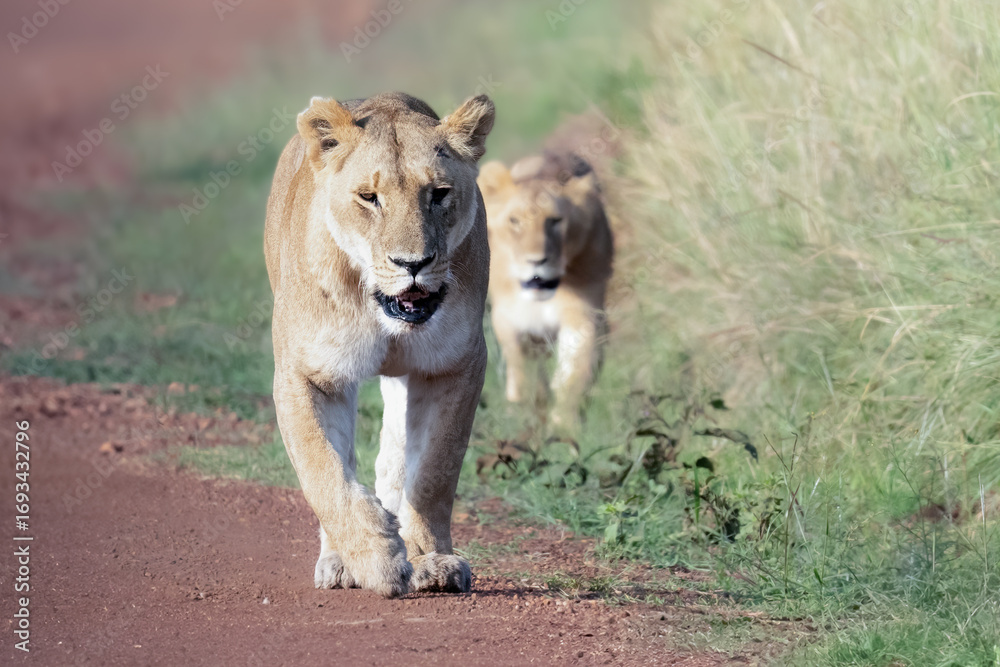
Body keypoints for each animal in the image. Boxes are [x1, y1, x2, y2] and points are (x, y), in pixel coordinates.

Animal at [264, 92, 495, 598]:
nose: (413, 264)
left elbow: (434, 470)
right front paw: (376, 557)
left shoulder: (455, 363)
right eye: (369, 198)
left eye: (439, 193)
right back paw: (340, 561)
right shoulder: (305, 372)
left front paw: (430, 558)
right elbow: (322, 468)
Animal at [477, 153, 613, 429]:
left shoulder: (582, 315)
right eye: (514, 221)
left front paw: (563, 425)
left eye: (555, 221)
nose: (536, 261)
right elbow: (522, 369)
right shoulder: (509, 318)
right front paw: (526, 413)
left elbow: (573, 373)